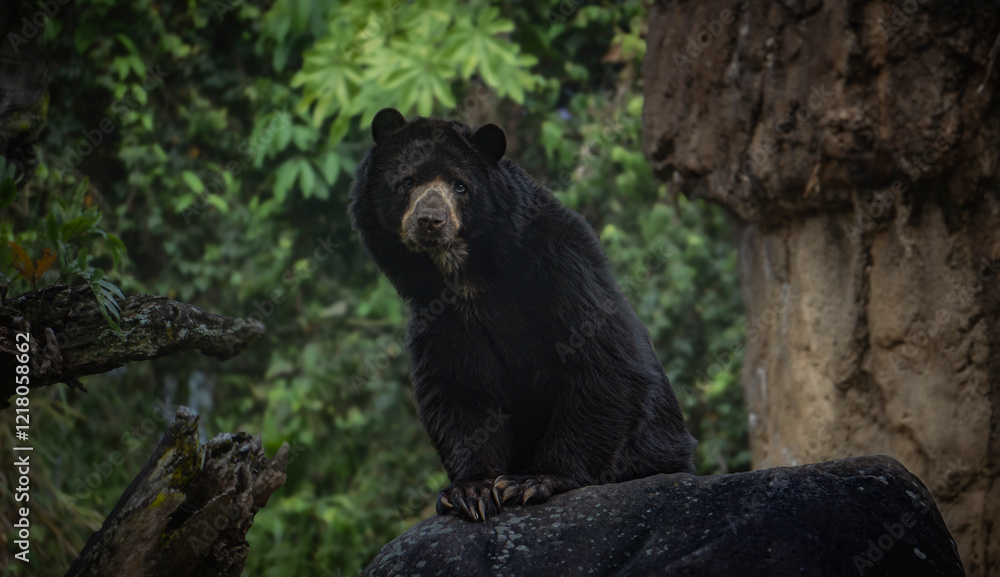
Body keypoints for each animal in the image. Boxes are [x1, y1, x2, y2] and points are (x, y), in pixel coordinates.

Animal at [349, 107, 697, 521]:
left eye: (461, 186)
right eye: (407, 180)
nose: (431, 220)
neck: (467, 276)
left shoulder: (563, 270)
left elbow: (603, 360)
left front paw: (532, 481)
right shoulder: (441, 315)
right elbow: (458, 388)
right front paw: (471, 491)